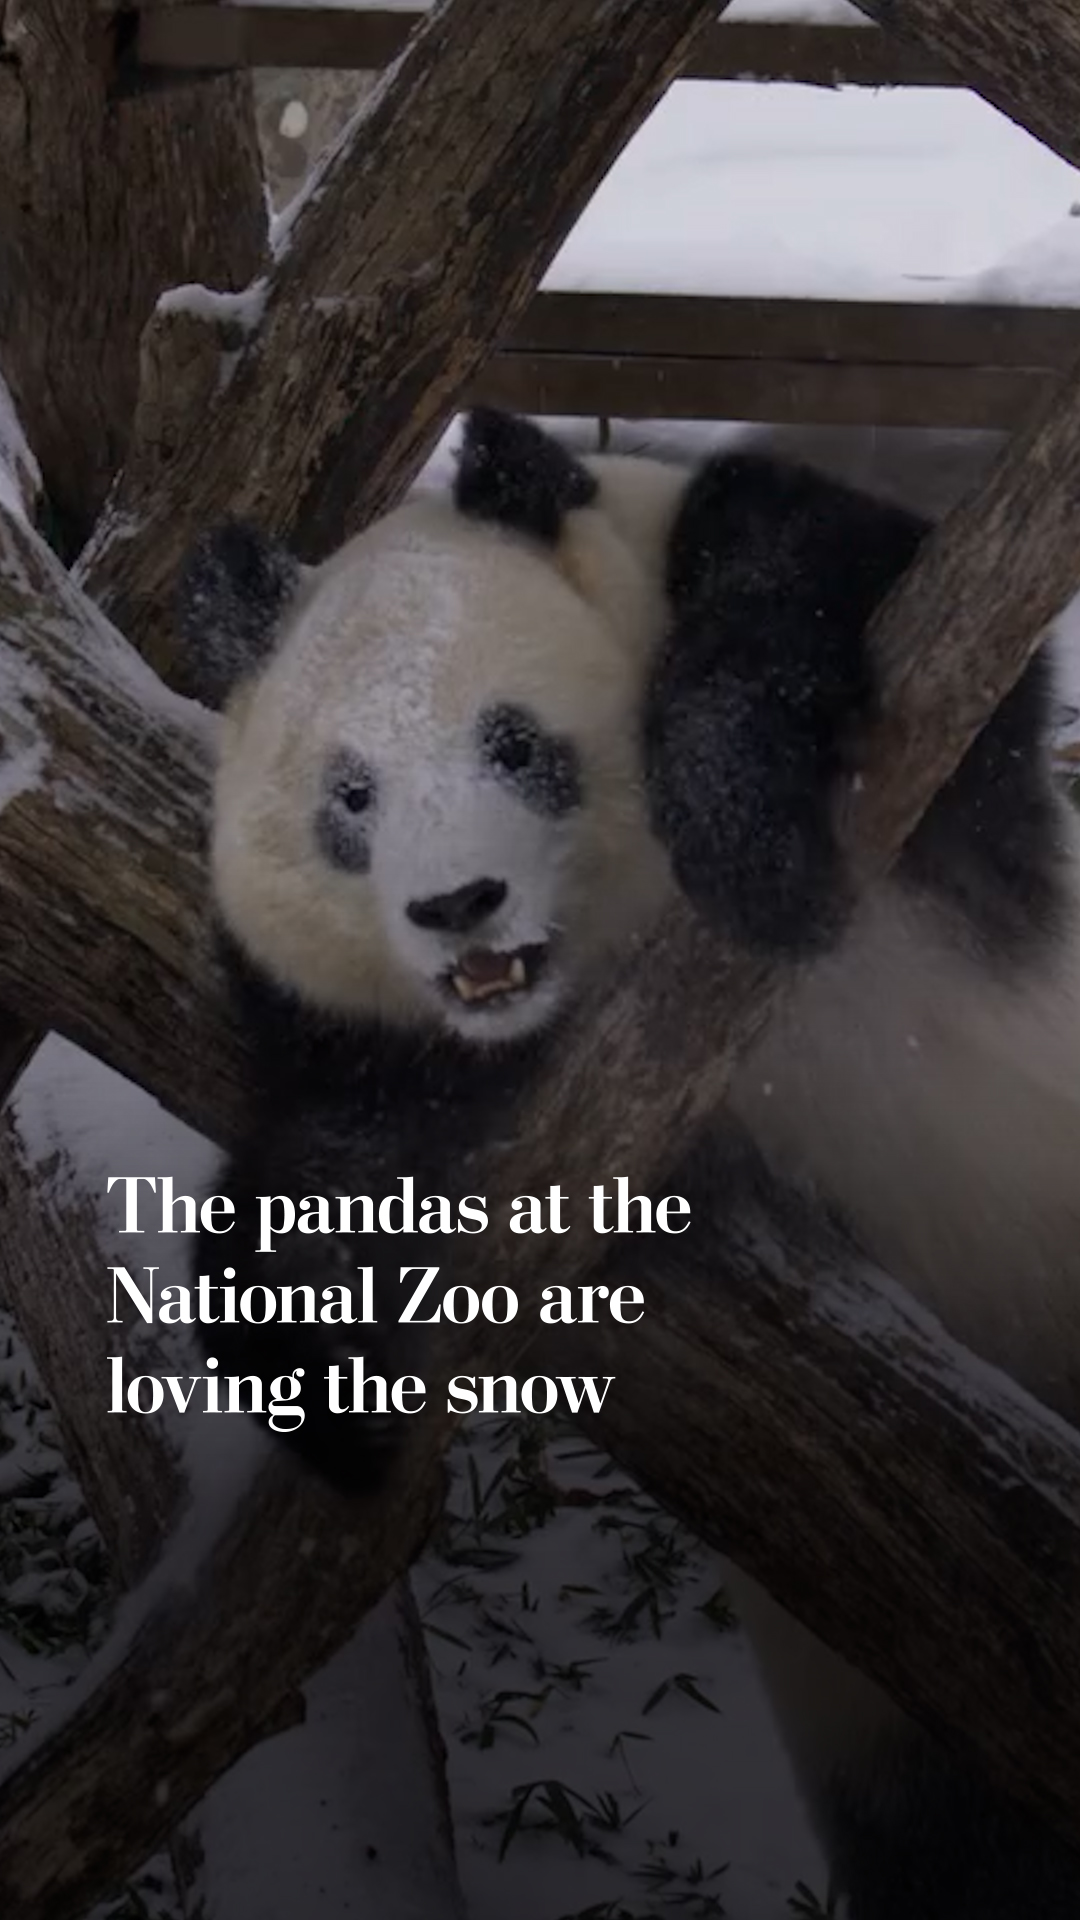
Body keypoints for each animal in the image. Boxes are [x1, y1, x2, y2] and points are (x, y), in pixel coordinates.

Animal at [178, 406, 1080, 1918]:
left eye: (516, 743)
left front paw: (740, 829)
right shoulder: (386, 1047)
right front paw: (315, 1371)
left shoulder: (932, 767)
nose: (458, 905)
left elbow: (835, 594)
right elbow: (339, 1141)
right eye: (350, 794)